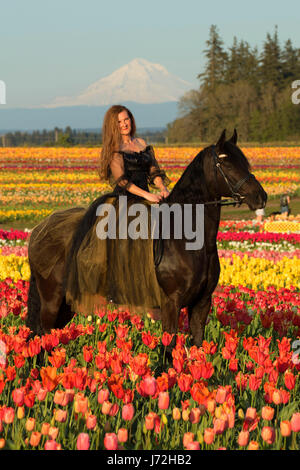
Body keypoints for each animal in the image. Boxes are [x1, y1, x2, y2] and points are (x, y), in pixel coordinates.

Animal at [25, 129, 268, 348]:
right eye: (226, 163)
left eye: (244, 161)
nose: (261, 197)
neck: (189, 239)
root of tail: (39, 230)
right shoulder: (171, 303)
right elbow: (169, 349)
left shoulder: (201, 303)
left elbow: (198, 346)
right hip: (52, 299)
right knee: (43, 336)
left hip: (66, 303)